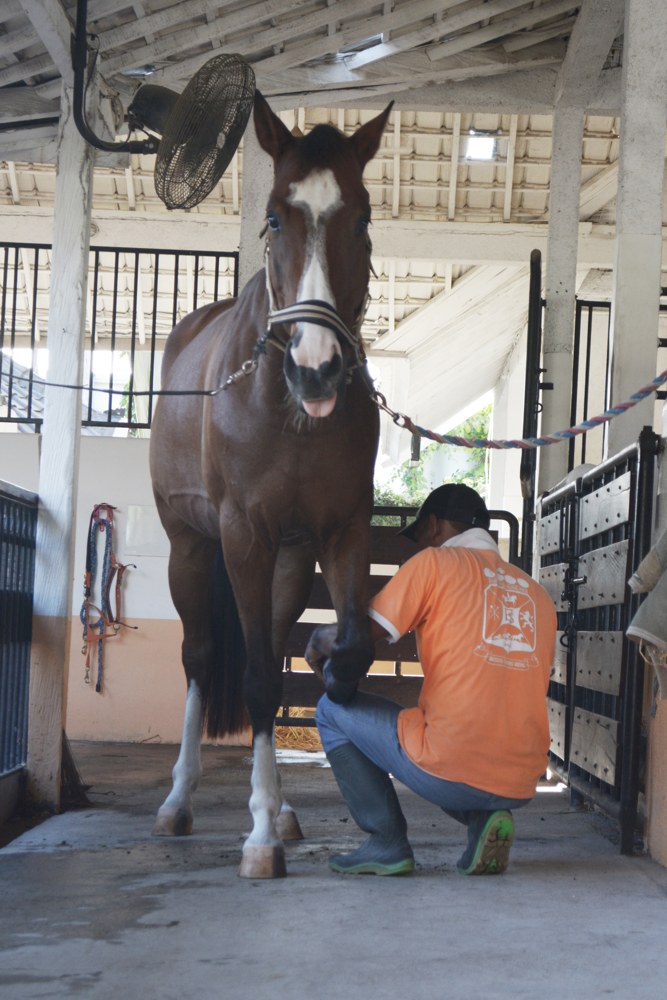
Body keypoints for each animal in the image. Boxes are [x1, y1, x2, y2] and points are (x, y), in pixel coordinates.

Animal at [149, 92, 394, 876]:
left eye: (362, 218)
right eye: (275, 217)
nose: (317, 370)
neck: (288, 413)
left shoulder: (340, 532)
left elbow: (345, 652)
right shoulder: (241, 537)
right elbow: (254, 677)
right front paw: (256, 835)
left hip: (288, 559)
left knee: (273, 646)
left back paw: (283, 809)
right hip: (190, 549)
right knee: (199, 661)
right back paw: (180, 801)